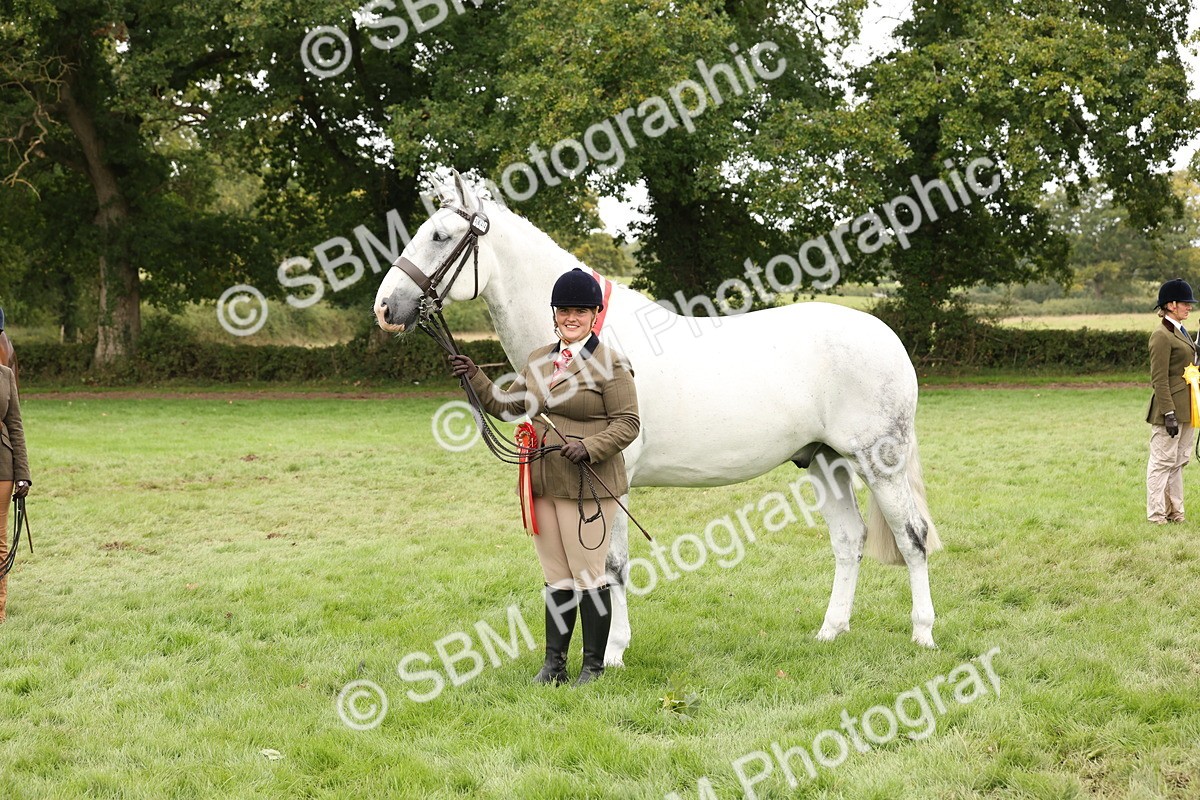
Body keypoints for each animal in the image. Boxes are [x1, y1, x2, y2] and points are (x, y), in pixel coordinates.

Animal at [374, 174, 942, 665]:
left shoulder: (608, 479)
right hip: (825, 461)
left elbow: (611, 566)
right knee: (849, 541)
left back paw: (922, 634)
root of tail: (886, 337)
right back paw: (830, 630)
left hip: (878, 462)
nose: (385, 308)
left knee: (912, 537)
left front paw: (612, 653)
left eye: (440, 236)